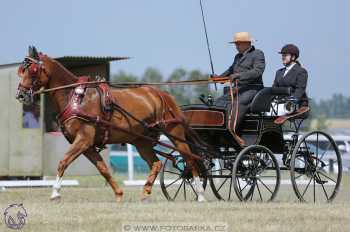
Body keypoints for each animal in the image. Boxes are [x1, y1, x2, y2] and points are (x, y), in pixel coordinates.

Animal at [15, 46, 205, 201]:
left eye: (32, 70)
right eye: (21, 70)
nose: (20, 95)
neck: (75, 97)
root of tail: (162, 94)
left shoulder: (83, 139)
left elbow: (63, 162)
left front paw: (55, 193)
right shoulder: (87, 145)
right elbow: (103, 168)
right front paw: (119, 194)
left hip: (175, 134)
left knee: (190, 159)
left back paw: (200, 193)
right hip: (141, 141)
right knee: (156, 163)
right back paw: (145, 192)